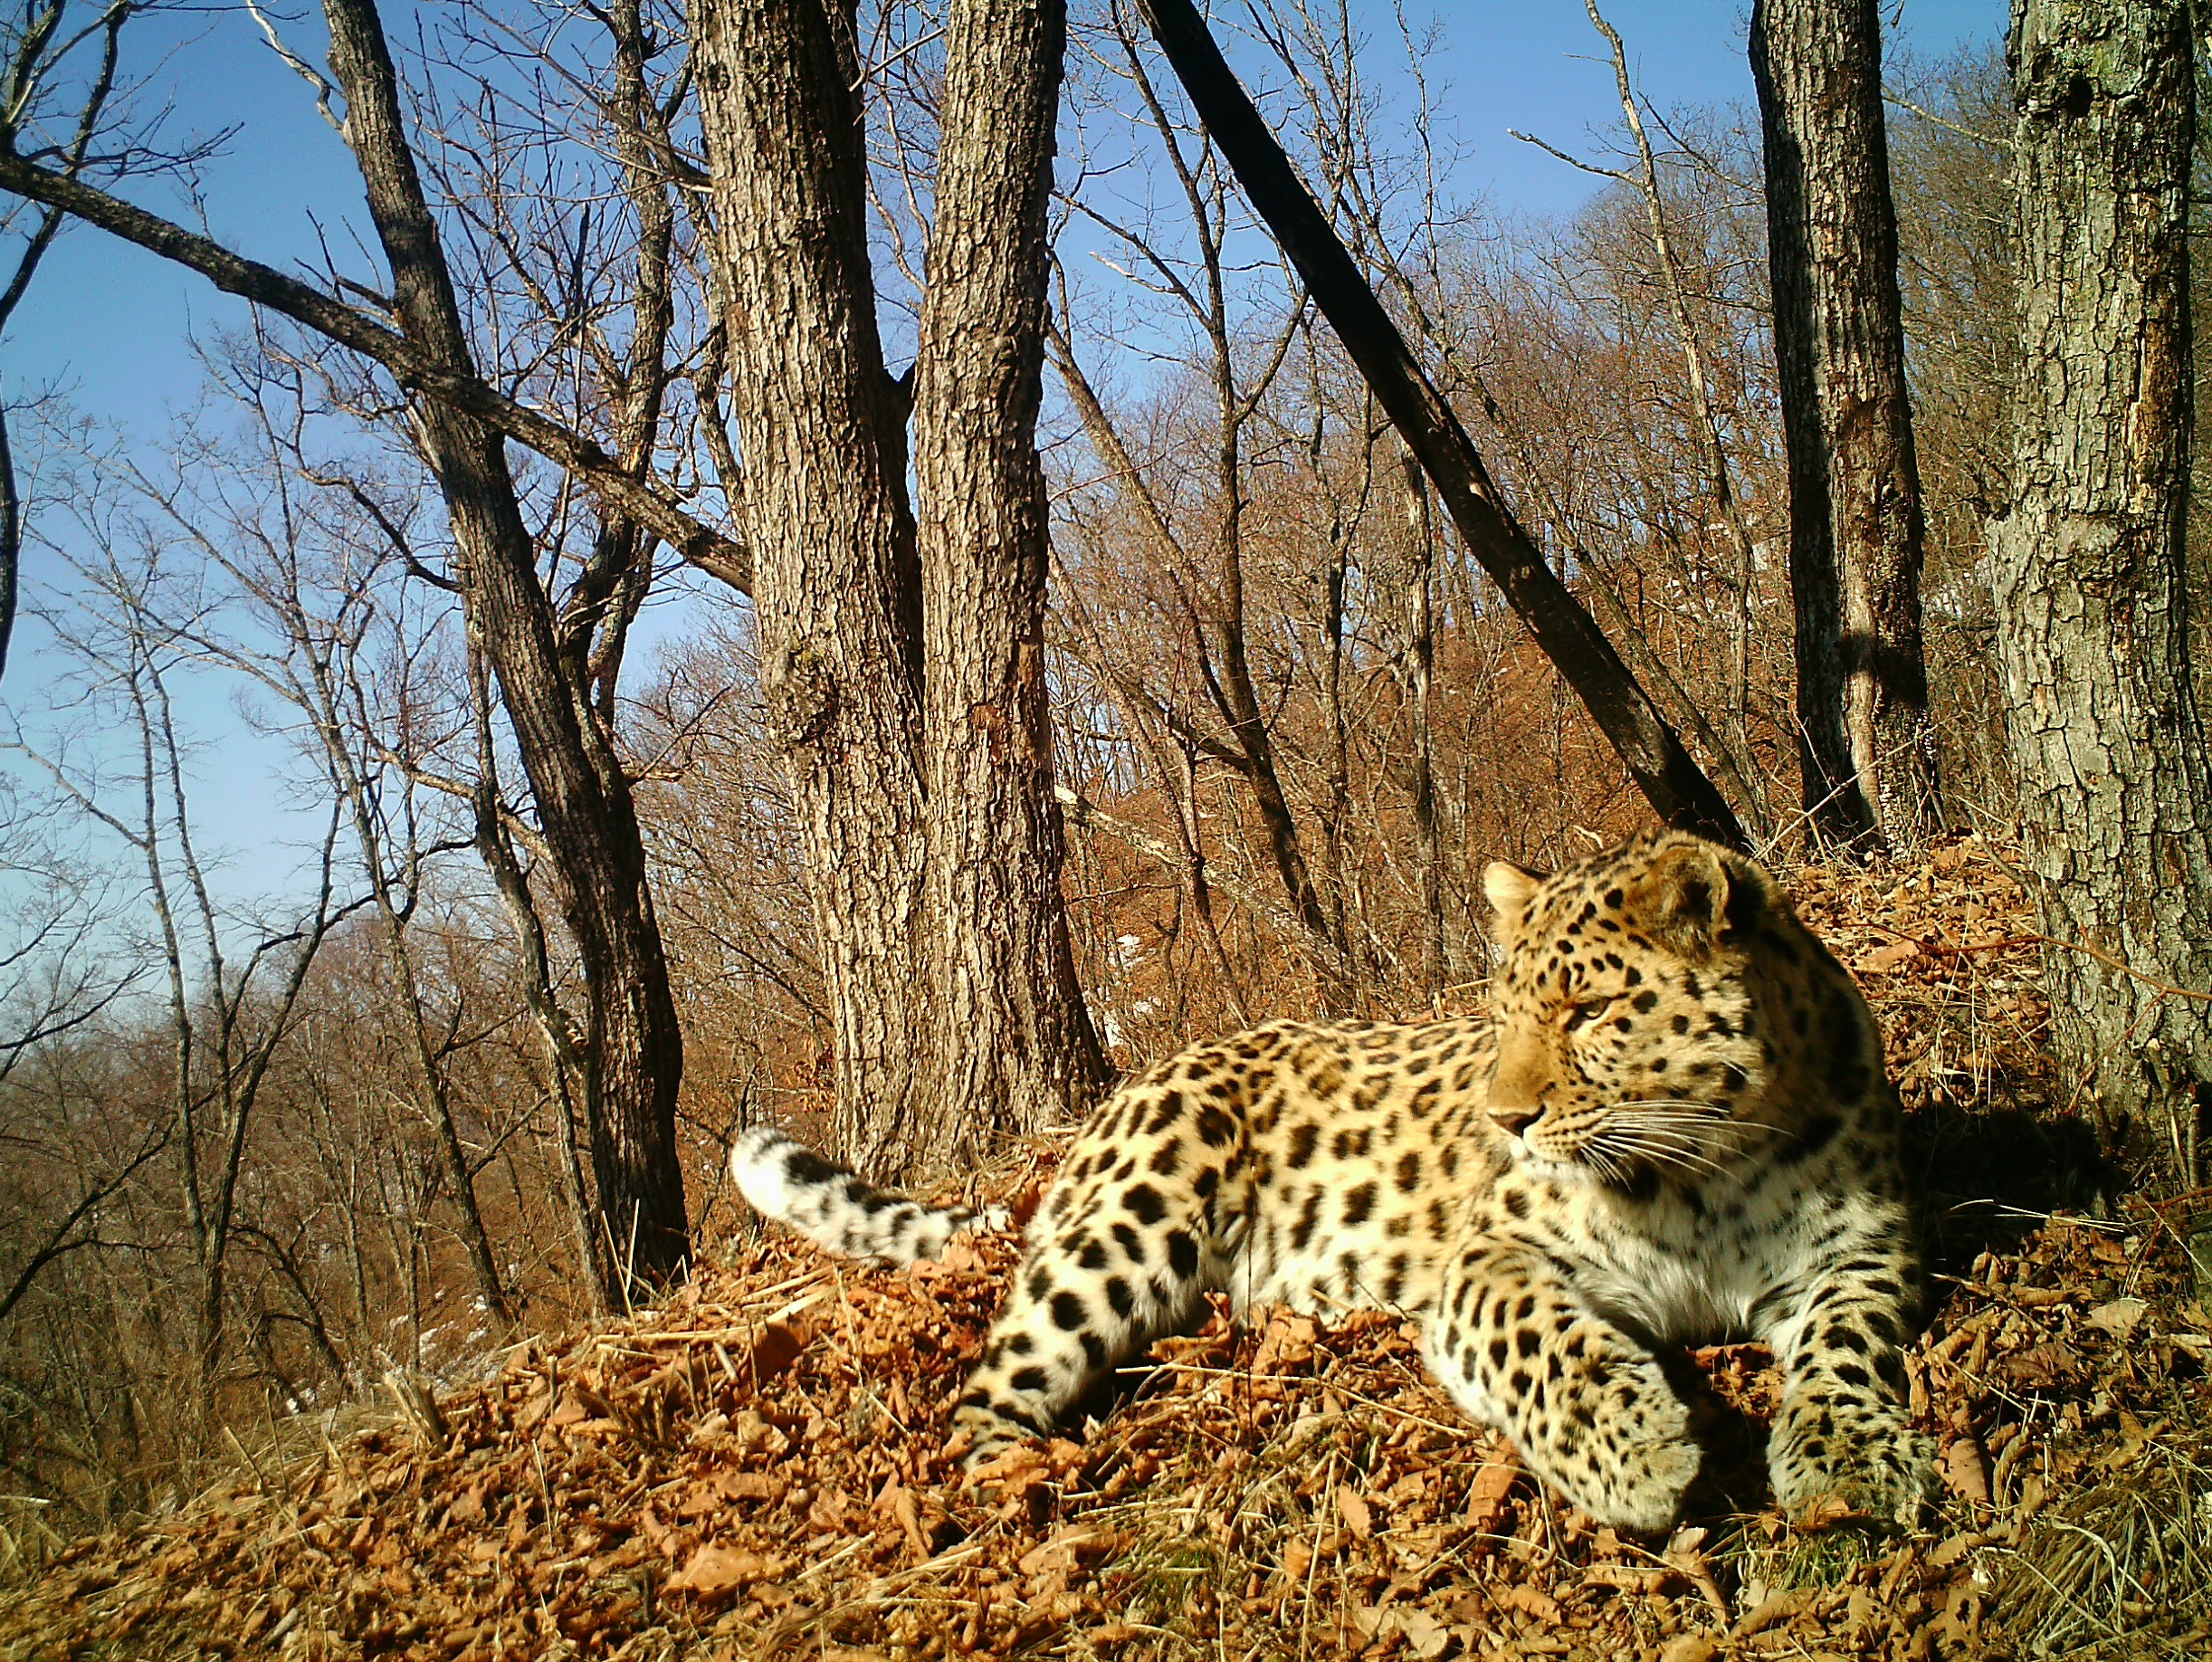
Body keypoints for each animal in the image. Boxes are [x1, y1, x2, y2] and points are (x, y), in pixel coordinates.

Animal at [731, 829, 1932, 1533]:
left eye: (1588, 1010)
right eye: (1504, 1010)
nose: (1504, 1120)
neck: (1709, 1167)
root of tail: (1113, 1105)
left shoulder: (1860, 1246)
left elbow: (1846, 1346)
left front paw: (1843, 1466)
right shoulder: (1491, 1256)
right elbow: (1543, 1345)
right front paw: (1637, 1457)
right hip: (1129, 1222)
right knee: (984, 1393)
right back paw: (1018, 1491)